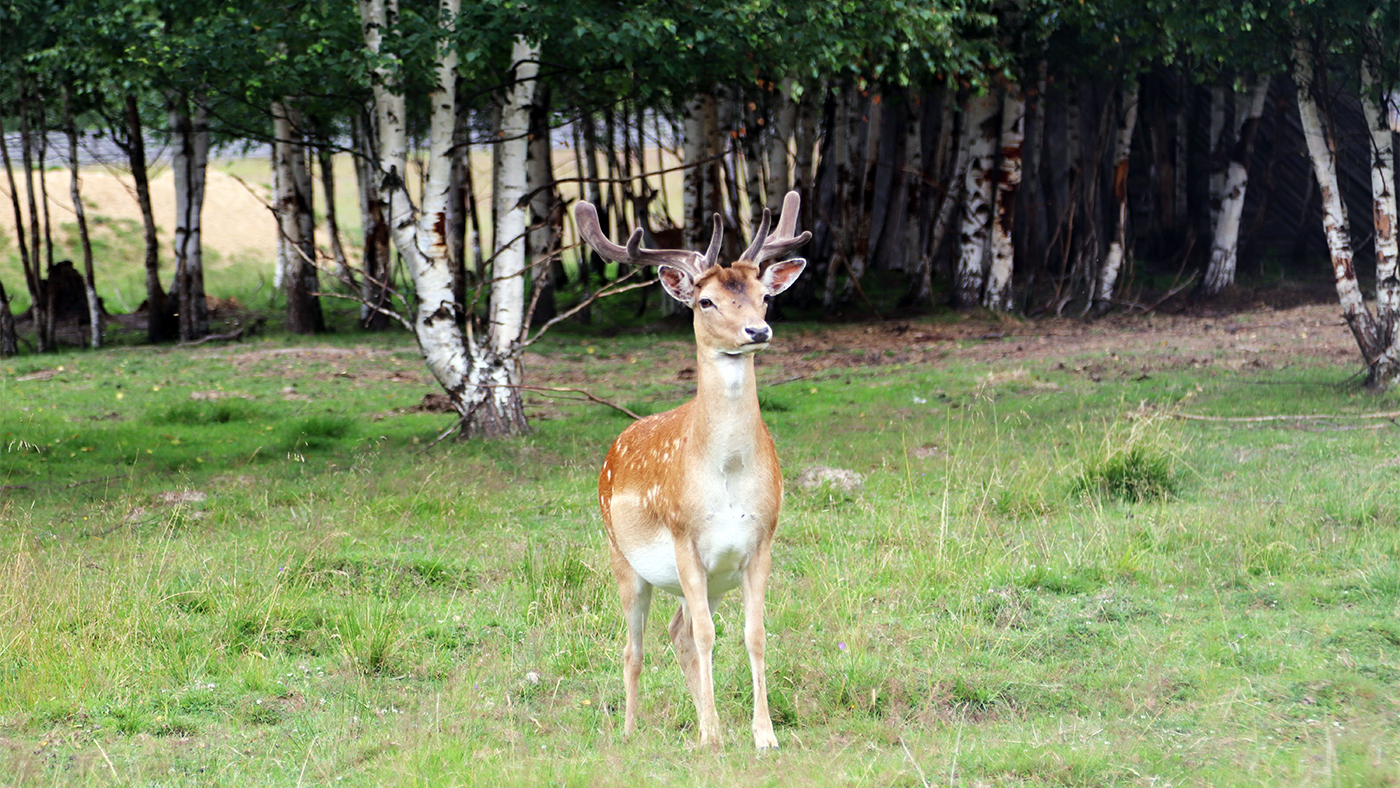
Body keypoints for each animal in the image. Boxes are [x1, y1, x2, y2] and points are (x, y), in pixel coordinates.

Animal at [571, 191, 812, 750]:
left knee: (677, 633)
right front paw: (712, 736)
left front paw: (762, 736)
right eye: (706, 302)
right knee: (635, 646)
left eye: (763, 297)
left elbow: (753, 634)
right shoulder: (684, 539)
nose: (757, 330)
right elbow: (706, 636)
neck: (726, 477)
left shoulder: (760, 541)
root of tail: (613, 447)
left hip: (713, 577)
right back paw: (631, 731)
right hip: (622, 557)